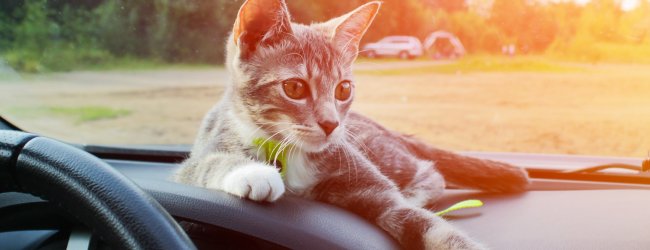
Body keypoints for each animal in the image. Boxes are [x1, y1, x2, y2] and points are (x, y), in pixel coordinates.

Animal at [175, 0, 528, 249]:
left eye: (343, 89)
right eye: (295, 88)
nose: (331, 124)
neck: (292, 154)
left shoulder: (368, 181)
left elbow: (431, 227)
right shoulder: (202, 154)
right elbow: (206, 164)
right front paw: (254, 172)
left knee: (430, 172)